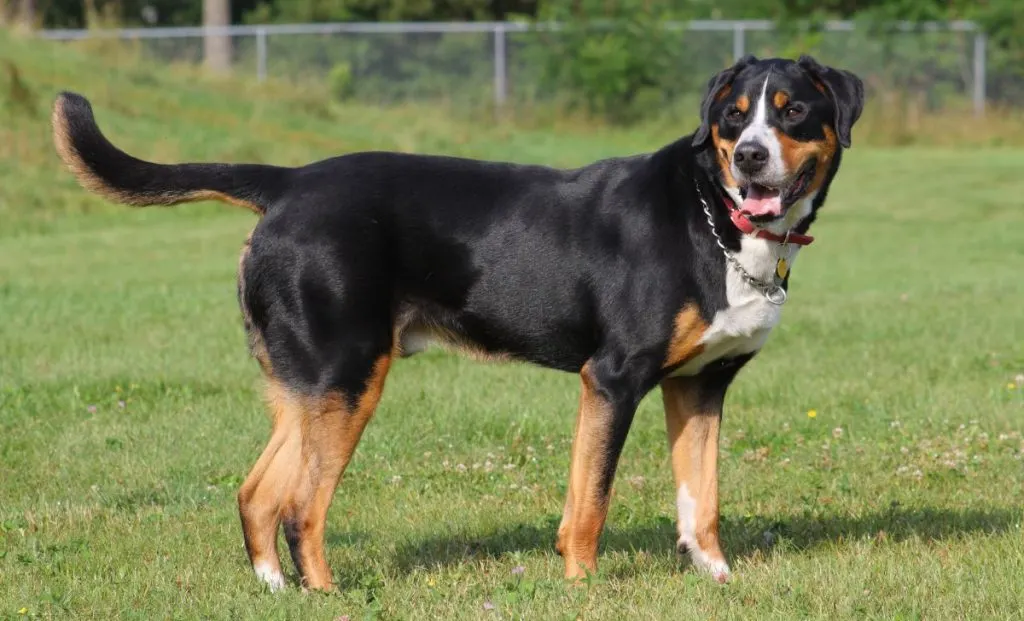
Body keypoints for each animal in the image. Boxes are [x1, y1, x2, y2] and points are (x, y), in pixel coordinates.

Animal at [49, 54, 864, 594]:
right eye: (734, 115)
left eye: (793, 111)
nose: (751, 157)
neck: (718, 221)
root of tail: (290, 182)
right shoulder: (613, 378)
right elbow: (590, 501)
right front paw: (582, 587)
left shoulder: (701, 385)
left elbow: (703, 499)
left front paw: (715, 576)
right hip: (350, 376)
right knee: (303, 506)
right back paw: (329, 595)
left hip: (313, 385)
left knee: (259, 494)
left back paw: (277, 590)